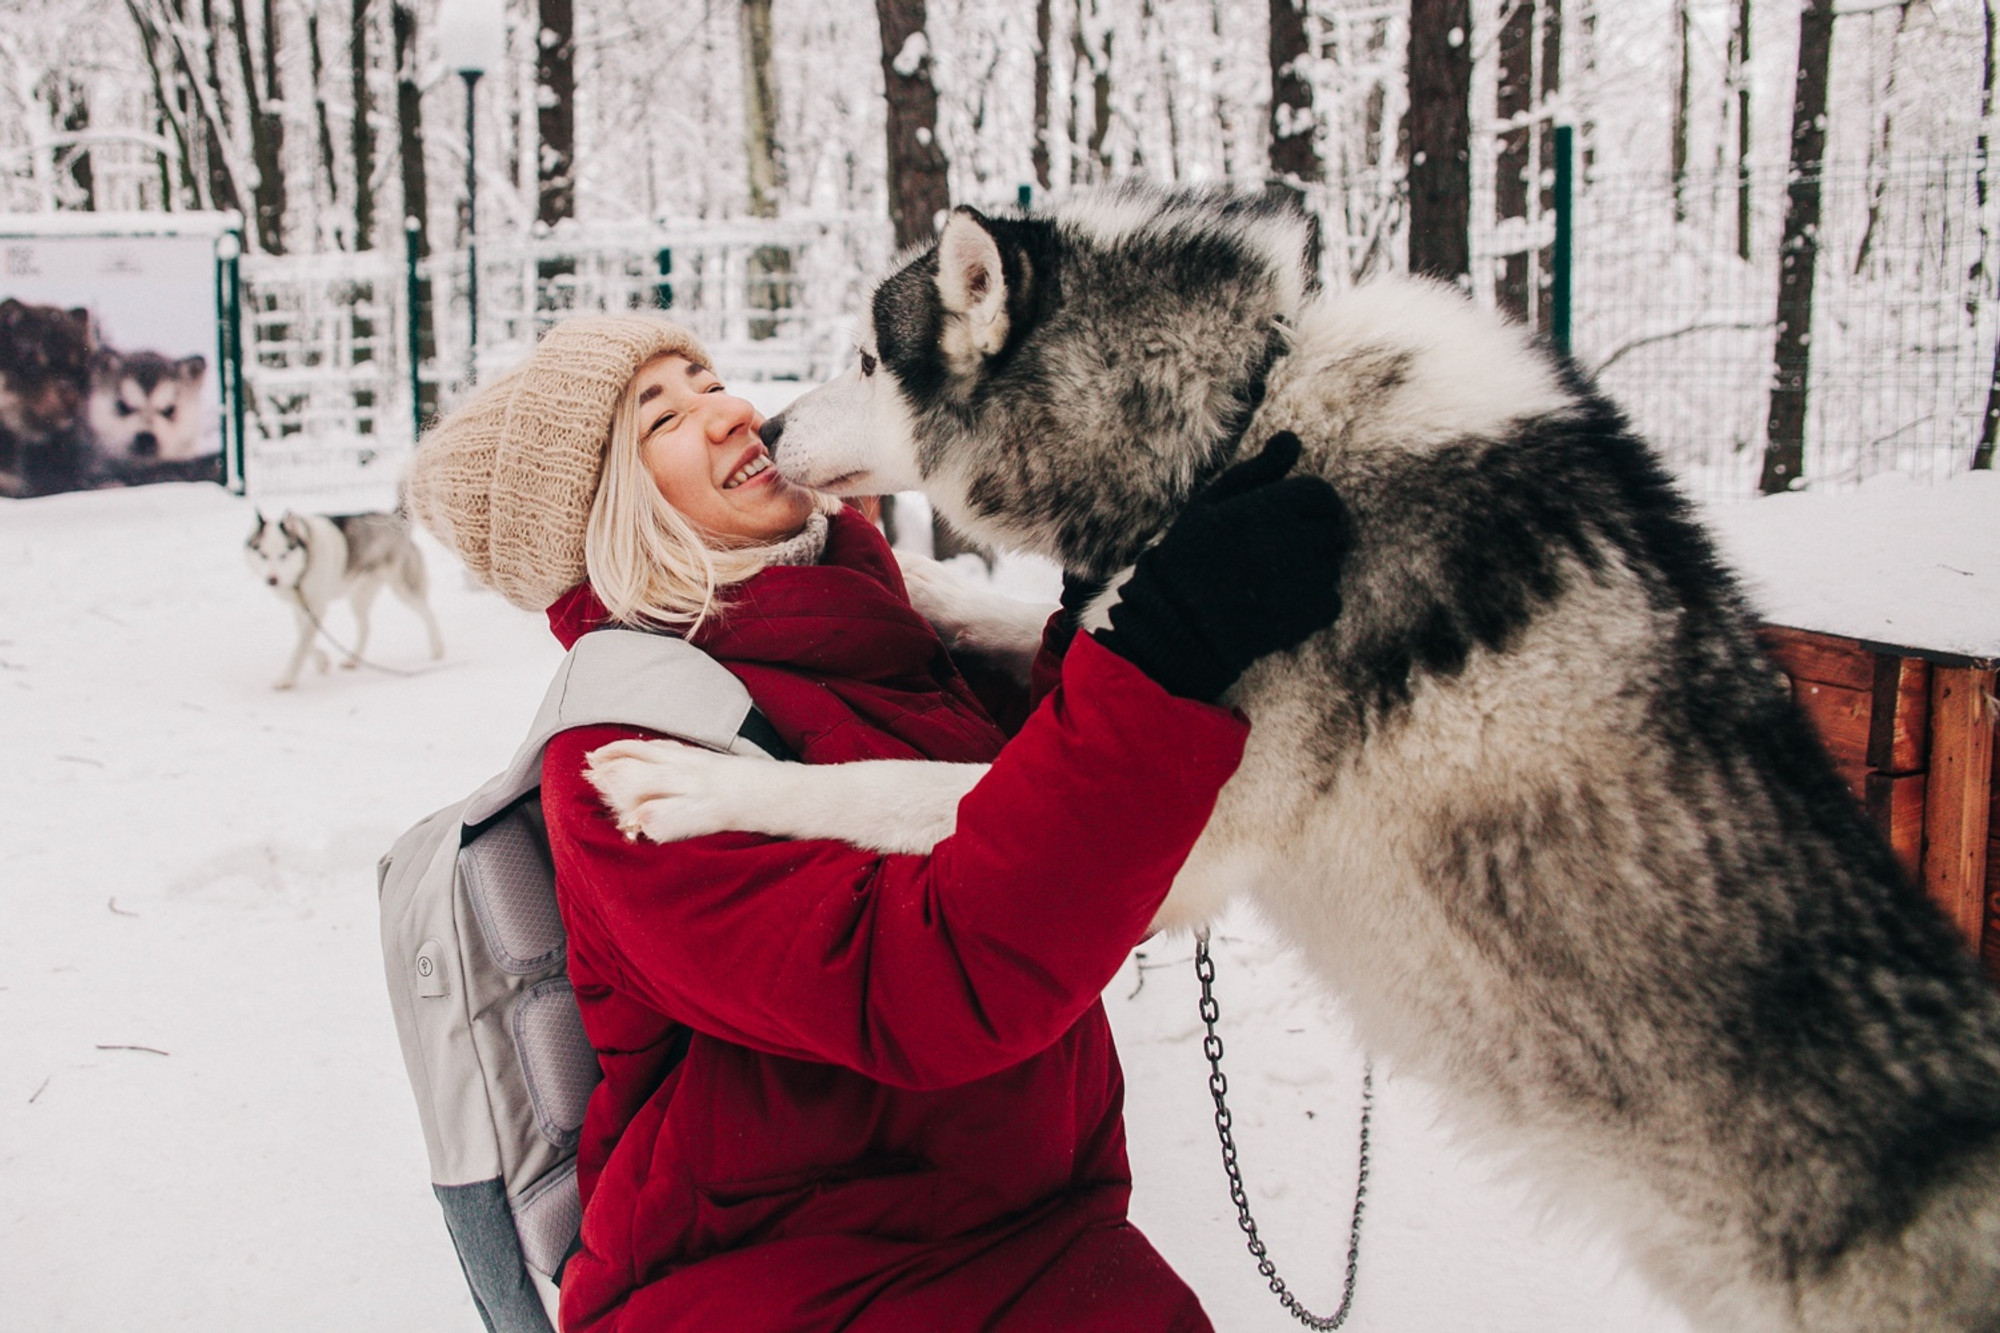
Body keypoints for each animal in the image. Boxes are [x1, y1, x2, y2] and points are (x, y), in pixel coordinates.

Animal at [244, 510, 444, 688]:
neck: (306, 559)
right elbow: (304, 641)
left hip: (404, 590)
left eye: (284, 555)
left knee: (428, 613)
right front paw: (321, 661)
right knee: (365, 627)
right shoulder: (302, 607)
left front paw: (286, 678)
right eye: (263, 555)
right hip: (359, 599)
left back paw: (438, 649)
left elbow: (301, 646)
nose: (272, 580)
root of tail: (392, 518)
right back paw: (353, 659)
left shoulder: (317, 607)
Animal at [584, 189, 2000, 1328]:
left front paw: (687, 782)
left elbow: (867, 787)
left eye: (869, 357)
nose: (766, 429)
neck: (1235, 430)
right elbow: (1008, 624)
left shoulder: (1174, 849)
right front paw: (914, 588)